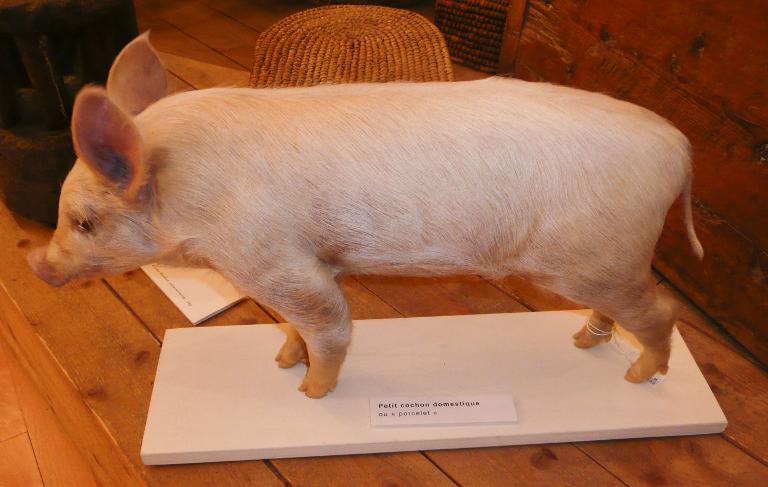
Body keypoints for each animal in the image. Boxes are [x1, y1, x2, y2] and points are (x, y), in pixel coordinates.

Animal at [28, 33, 703, 398]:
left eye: (83, 221)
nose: (37, 263)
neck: (194, 199)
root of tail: (679, 146)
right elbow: (295, 326)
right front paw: (281, 361)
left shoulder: (276, 261)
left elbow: (328, 324)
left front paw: (308, 392)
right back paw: (583, 342)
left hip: (599, 258)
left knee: (663, 310)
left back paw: (635, 378)